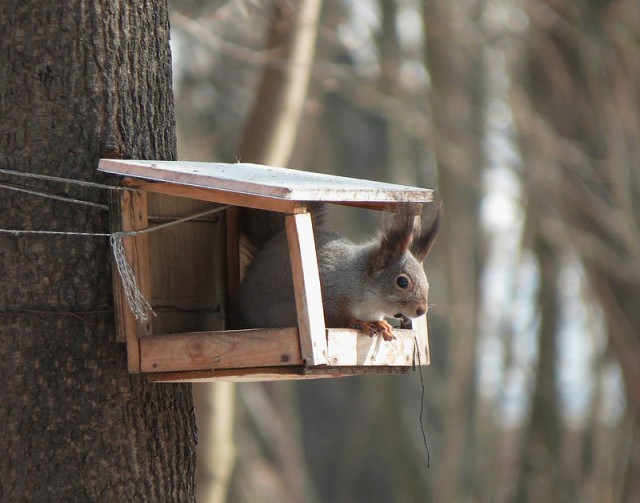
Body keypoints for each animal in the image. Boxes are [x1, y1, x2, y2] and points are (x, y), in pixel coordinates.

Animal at [235, 204, 440, 342]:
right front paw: (360, 323)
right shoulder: (329, 294)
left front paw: (382, 325)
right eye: (402, 282)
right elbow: (338, 318)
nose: (421, 310)